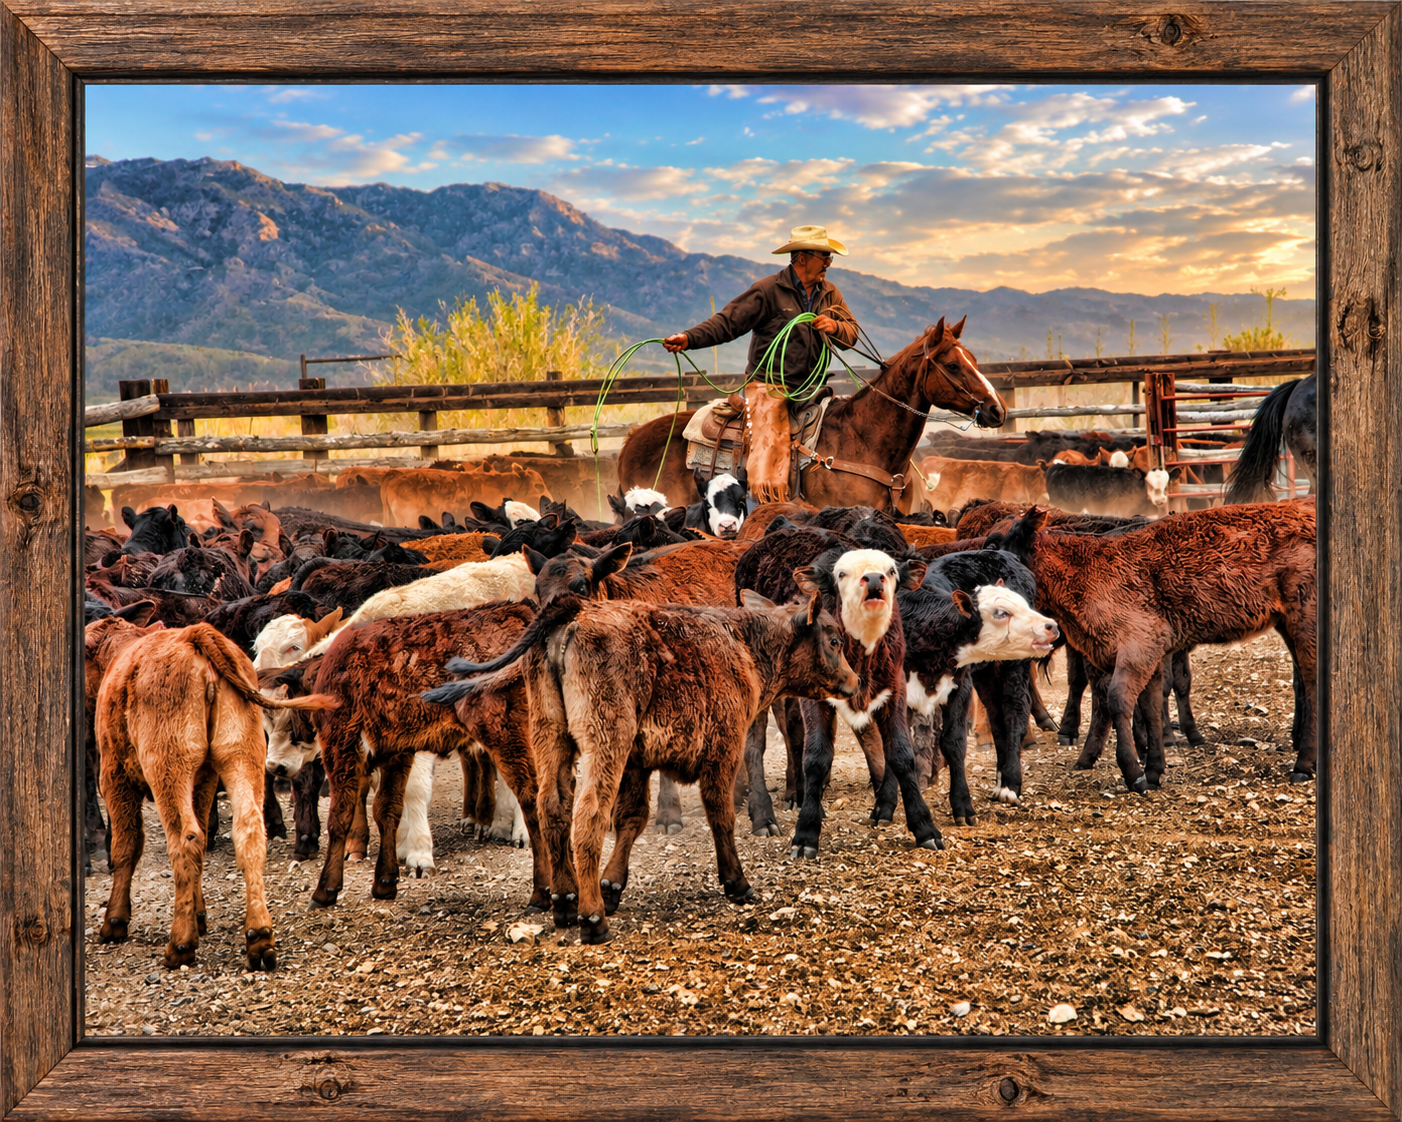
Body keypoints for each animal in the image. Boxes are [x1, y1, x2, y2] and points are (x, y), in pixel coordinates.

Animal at [94, 623, 332, 970]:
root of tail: (194, 635)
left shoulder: (114, 775)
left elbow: (126, 846)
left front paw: (115, 920)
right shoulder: (204, 780)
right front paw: (200, 914)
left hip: (169, 767)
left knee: (186, 838)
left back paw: (180, 944)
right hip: (240, 756)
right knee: (246, 832)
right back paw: (260, 937)